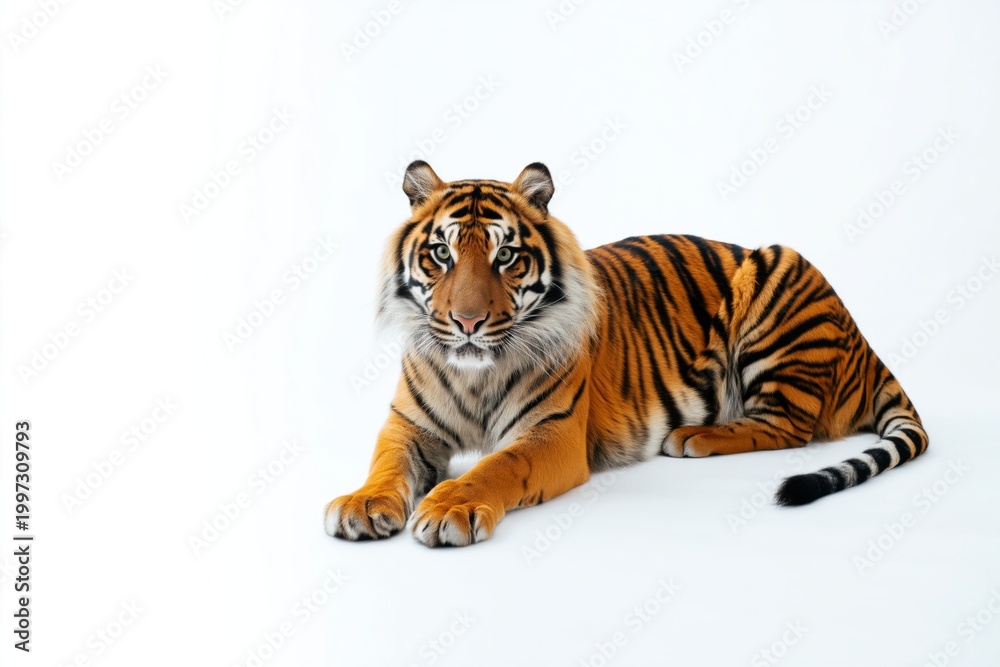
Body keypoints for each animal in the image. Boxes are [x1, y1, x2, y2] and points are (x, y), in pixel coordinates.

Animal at [324, 161, 928, 547]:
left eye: (507, 257)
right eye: (441, 254)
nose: (467, 323)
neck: (475, 373)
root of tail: (863, 342)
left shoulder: (553, 433)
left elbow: (498, 465)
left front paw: (451, 505)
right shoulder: (409, 425)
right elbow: (385, 463)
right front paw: (361, 504)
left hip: (779, 268)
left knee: (791, 426)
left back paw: (694, 437)